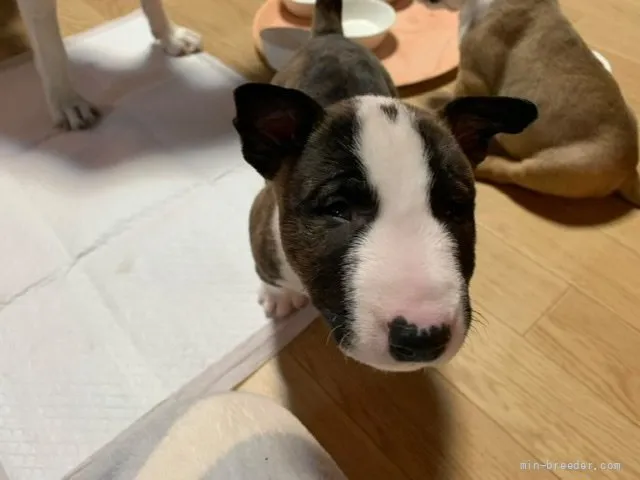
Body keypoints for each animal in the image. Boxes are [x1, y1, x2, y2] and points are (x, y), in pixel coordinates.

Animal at [231, 0, 537, 371]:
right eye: (338, 208)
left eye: (455, 207)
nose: (423, 339)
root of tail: (331, 34)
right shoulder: (261, 220)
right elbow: (267, 270)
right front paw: (277, 296)